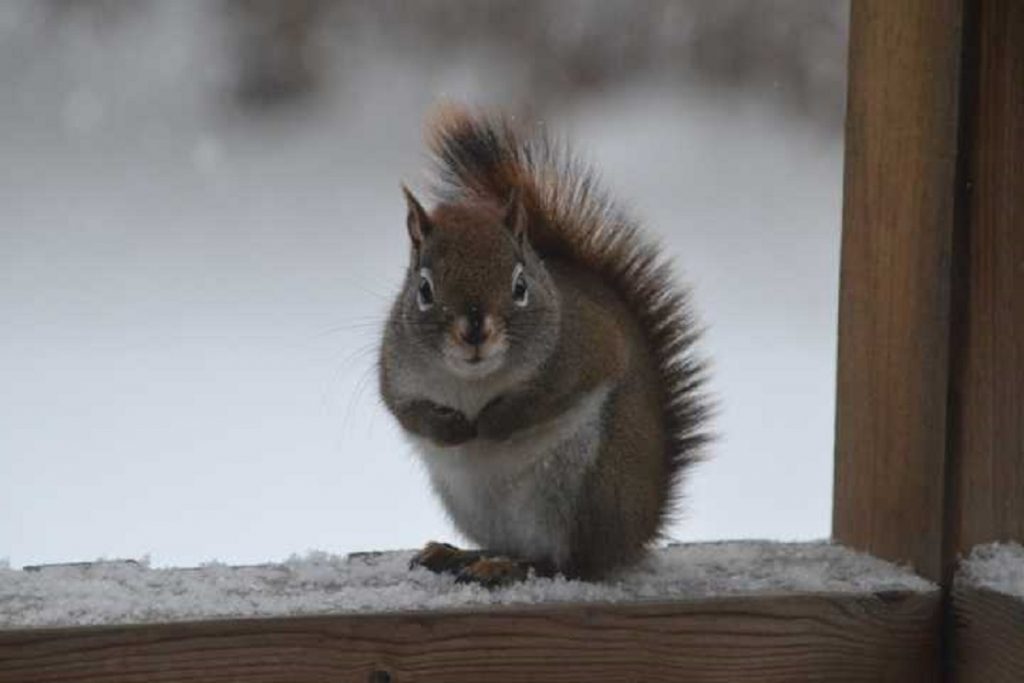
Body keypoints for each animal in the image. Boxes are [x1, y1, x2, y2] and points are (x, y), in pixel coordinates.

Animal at [378, 108, 712, 589]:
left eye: (520, 286)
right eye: (424, 289)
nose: (475, 329)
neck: (474, 381)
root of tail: (637, 529)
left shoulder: (590, 345)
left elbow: (546, 397)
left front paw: (493, 423)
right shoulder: (396, 369)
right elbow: (404, 410)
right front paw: (451, 428)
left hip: (584, 488)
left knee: (567, 564)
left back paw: (507, 566)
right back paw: (458, 554)